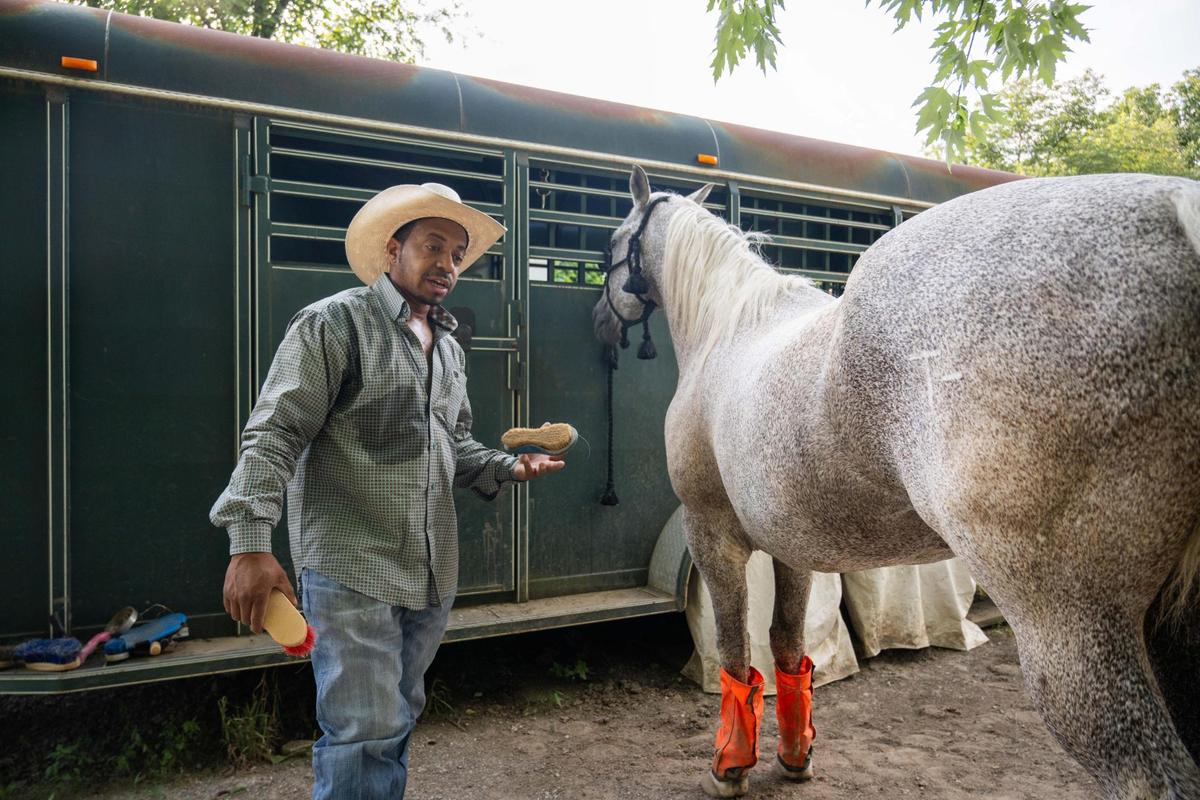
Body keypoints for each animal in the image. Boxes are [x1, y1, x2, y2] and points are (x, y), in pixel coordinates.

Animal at [593, 165, 1200, 799]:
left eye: (610, 244)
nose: (600, 323)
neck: (729, 327)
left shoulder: (711, 529)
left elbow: (736, 650)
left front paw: (730, 766)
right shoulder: (792, 544)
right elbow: (788, 647)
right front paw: (794, 756)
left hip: (1070, 630)